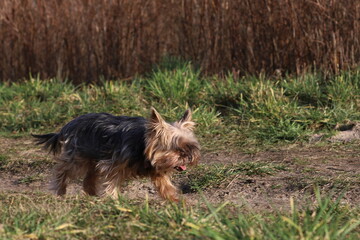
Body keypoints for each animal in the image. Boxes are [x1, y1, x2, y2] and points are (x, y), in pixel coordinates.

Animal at [32, 108, 200, 202]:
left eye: (190, 147)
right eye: (177, 148)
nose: (188, 156)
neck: (142, 144)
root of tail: (68, 125)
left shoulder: (156, 170)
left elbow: (166, 186)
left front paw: (175, 201)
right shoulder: (114, 165)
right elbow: (112, 181)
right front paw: (113, 200)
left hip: (93, 157)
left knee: (89, 178)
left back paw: (92, 195)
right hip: (78, 157)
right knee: (63, 170)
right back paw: (60, 191)